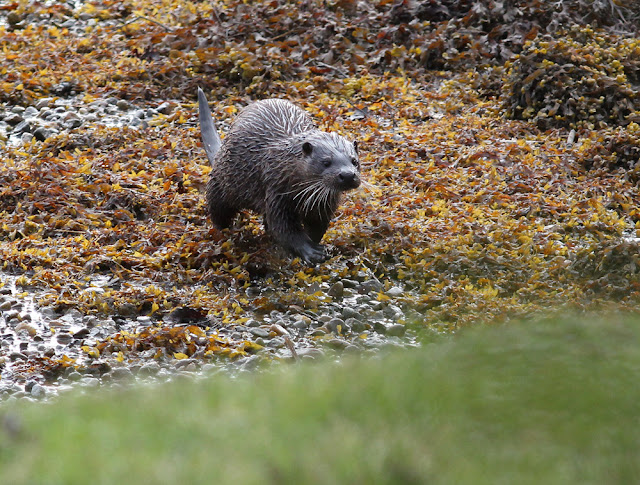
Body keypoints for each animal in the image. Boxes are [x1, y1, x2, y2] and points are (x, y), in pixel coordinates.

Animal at [197, 88, 361, 263]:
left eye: (354, 161)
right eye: (326, 162)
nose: (348, 175)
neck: (283, 166)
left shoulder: (322, 203)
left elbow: (318, 226)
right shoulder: (277, 191)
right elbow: (283, 227)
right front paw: (311, 251)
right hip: (221, 182)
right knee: (218, 210)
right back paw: (224, 233)